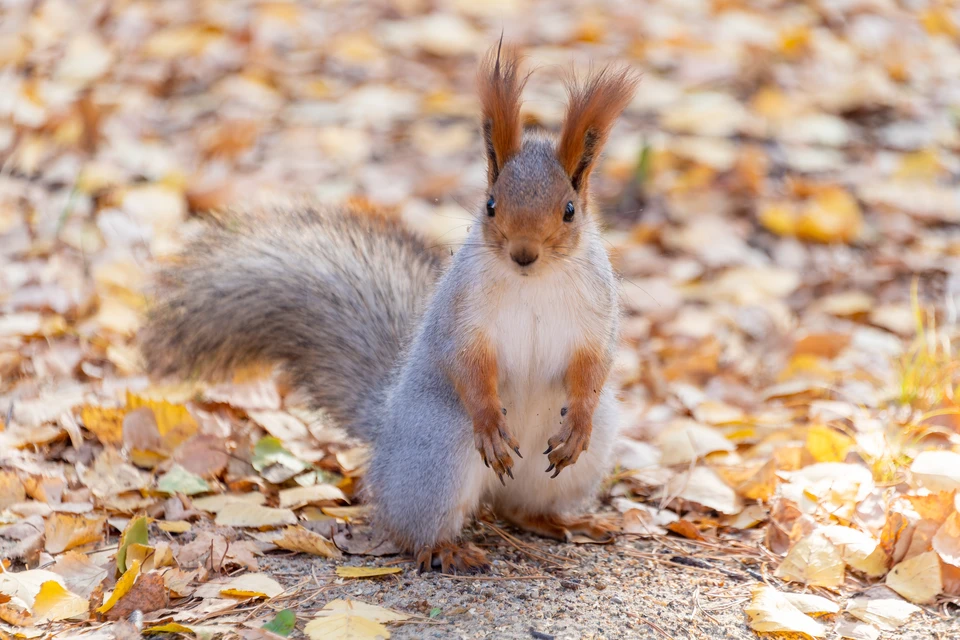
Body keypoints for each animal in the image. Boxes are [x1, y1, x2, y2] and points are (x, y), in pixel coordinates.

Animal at [142, 45, 636, 576]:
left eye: (569, 210)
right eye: (490, 204)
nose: (524, 253)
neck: (534, 284)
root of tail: (386, 429)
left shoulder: (597, 315)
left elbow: (595, 365)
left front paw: (577, 421)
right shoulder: (459, 314)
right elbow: (463, 360)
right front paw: (489, 422)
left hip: (580, 462)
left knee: (521, 508)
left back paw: (564, 520)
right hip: (438, 453)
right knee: (411, 527)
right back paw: (444, 547)